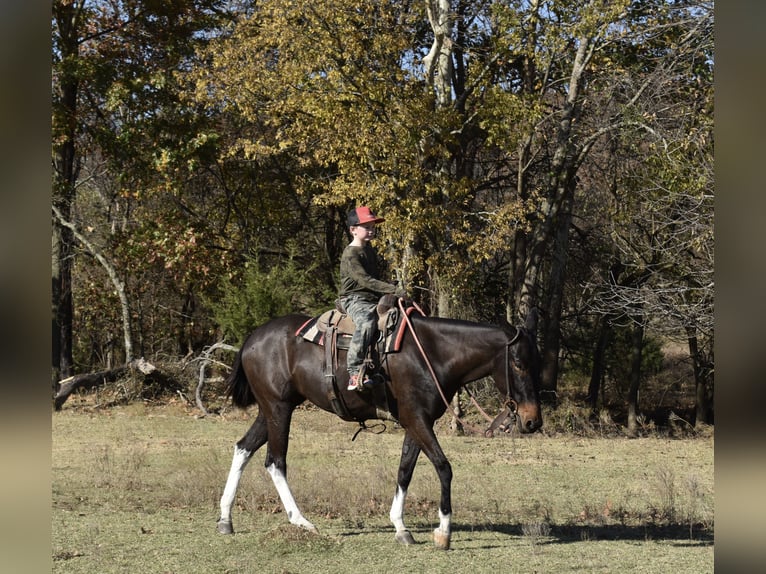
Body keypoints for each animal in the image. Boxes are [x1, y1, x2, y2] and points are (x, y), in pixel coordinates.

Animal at [216, 300, 543, 549]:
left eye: (536, 363)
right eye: (518, 364)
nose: (532, 421)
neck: (432, 354)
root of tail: (253, 338)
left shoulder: (416, 422)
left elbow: (405, 470)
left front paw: (401, 527)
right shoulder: (417, 419)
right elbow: (443, 467)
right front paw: (443, 532)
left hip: (270, 409)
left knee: (243, 448)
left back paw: (225, 519)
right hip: (279, 409)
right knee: (275, 461)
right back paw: (301, 521)